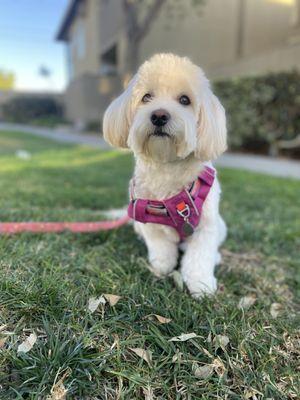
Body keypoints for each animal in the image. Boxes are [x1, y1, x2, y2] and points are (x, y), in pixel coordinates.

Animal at [103, 52, 227, 296]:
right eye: (146, 97)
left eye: (185, 100)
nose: (159, 115)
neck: (167, 167)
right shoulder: (148, 221)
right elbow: (161, 248)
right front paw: (161, 267)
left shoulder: (206, 226)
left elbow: (200, 257)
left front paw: (201, 284)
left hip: (221, 226)